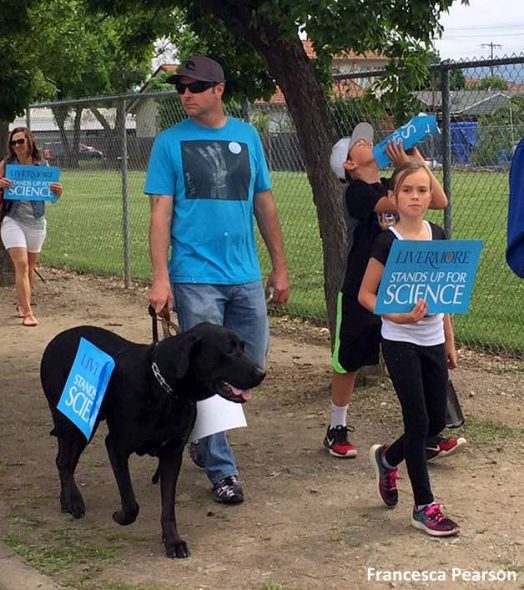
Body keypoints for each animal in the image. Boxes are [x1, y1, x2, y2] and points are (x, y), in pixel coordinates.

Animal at [40, 324, 266, 560]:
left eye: (242, 347)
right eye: (228, 351)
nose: (261, 373)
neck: (165, 388)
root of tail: (57, 338)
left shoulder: (172, 454)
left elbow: (168, 506)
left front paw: (173, 542)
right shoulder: (116, 446)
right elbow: (131, 503)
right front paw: (120, 516)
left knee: (67, 462)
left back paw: (67, 500)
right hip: (73, 422)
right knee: (64, 462)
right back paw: (73, 501)